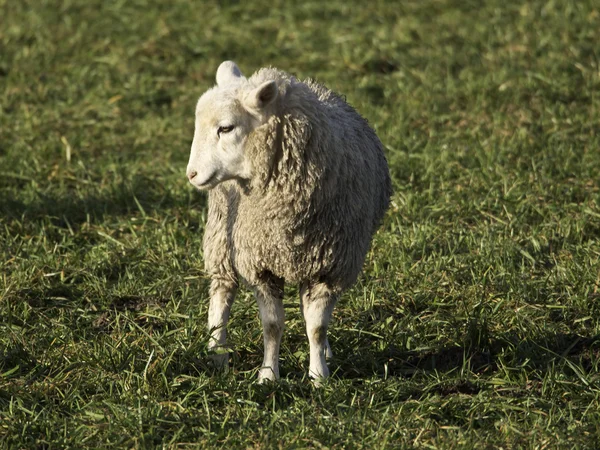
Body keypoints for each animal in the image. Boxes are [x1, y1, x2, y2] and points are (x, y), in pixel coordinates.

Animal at [189, 60, 394, 384]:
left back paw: (326, 351)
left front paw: (319, 375)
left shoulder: (330, 266)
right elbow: (272, 327)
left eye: (226, 128)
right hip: (222, 236)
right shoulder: (260, 264)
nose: (191, 174)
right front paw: (268, 376)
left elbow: (317, 326)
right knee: (222, 291)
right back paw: (217, 352)